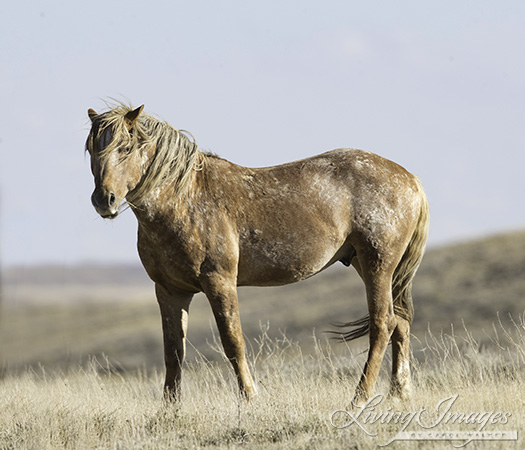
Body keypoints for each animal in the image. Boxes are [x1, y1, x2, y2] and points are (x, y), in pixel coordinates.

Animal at [86, 103, 428, 404]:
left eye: (124, 148)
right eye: (91, 149)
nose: (104, 200)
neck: (184, 199)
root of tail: (410, 178)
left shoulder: (219, 283)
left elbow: (233, 342)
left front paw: (250, 398)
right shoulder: (170, 291)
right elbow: (173, 352)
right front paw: (169, 410)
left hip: (377, 265)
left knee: (383, 325)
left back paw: (360, 397)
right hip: (370, 266)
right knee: (400, 323)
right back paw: (399, 393)